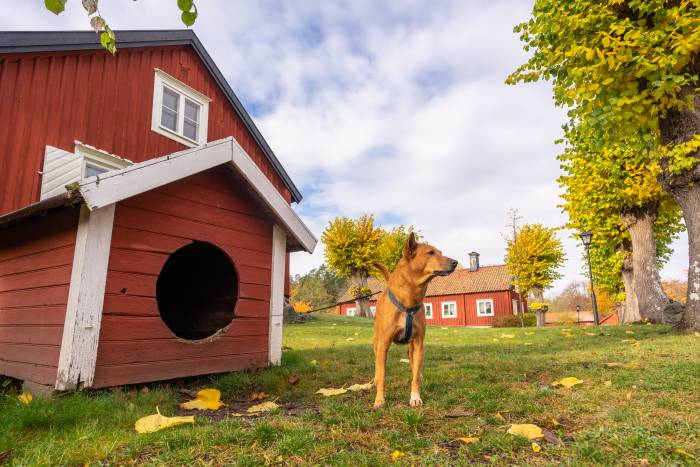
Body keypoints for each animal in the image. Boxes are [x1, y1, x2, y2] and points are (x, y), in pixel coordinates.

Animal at [372, 234, 460, 410]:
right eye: (430, 253)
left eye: (441, 252)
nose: (455, 262)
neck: (409, 299)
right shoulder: (383, 344)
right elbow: (382, 374)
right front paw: (379, 400)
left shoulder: (419, 344)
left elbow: (415, 377)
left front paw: (415, 397)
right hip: (376, 342)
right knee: (377, 366)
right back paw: (374, 381)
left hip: (411, 348)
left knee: (414, 367)